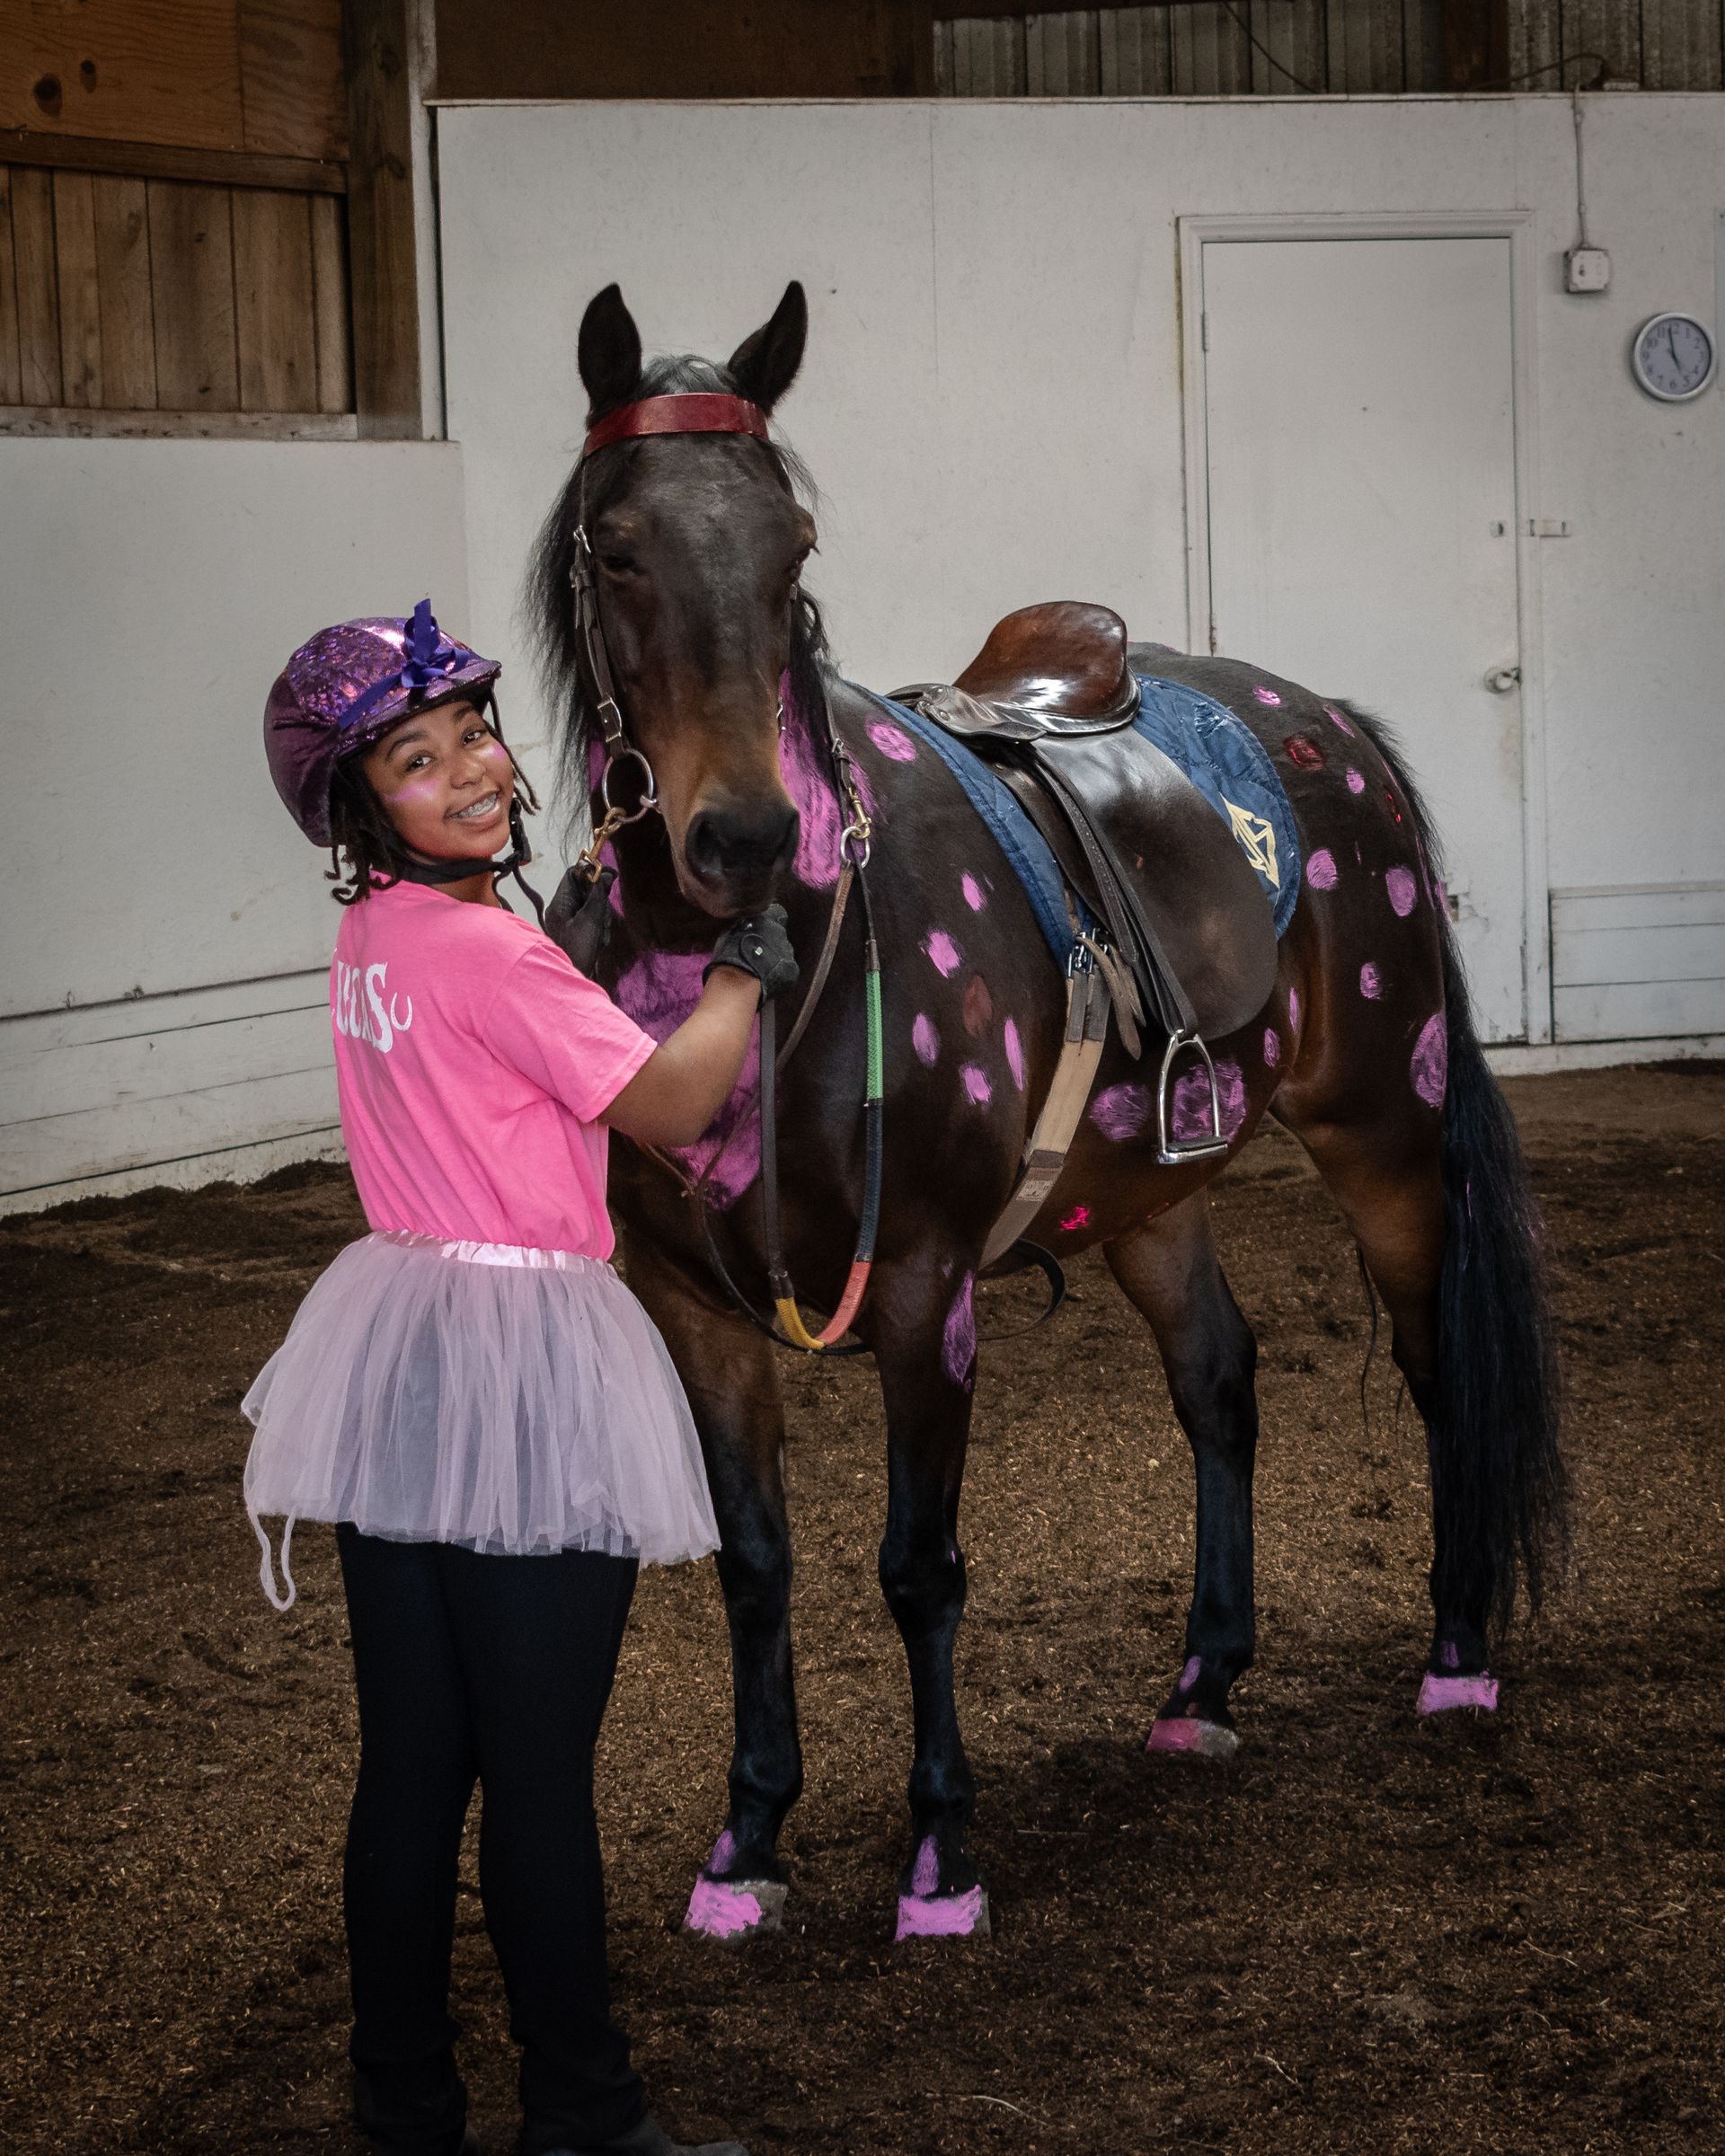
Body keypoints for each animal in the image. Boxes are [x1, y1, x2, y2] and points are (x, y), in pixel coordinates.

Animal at [526, 279, 1566, 1943]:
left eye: (791, 545)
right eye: (617, 544)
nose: (738, 833)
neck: (762, 964)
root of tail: (1324, 718)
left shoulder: (923, 1286)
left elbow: (919, 1566)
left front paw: (941, 1852)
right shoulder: (689, 1305)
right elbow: (754, 1563)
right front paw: (748, 1842)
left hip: (1387, 1141)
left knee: (1436, 1365)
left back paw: (1457, 1660)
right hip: (1150, 1193)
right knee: (1219, 1381)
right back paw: (1202, 1683)